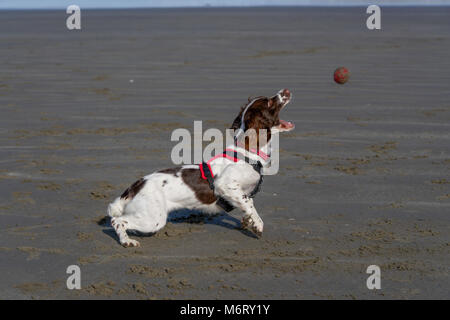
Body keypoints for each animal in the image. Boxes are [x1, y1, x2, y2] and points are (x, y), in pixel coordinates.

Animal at [107, 89, 294, 246]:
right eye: (269, 102)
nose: (286, 90)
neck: (248, 152)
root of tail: (135, 185)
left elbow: (248, 203)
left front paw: (248, 221)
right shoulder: (226, 185)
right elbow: (249, 203)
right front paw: (258, 225)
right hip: (153, 219)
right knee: (117, 221)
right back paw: (127, 241)